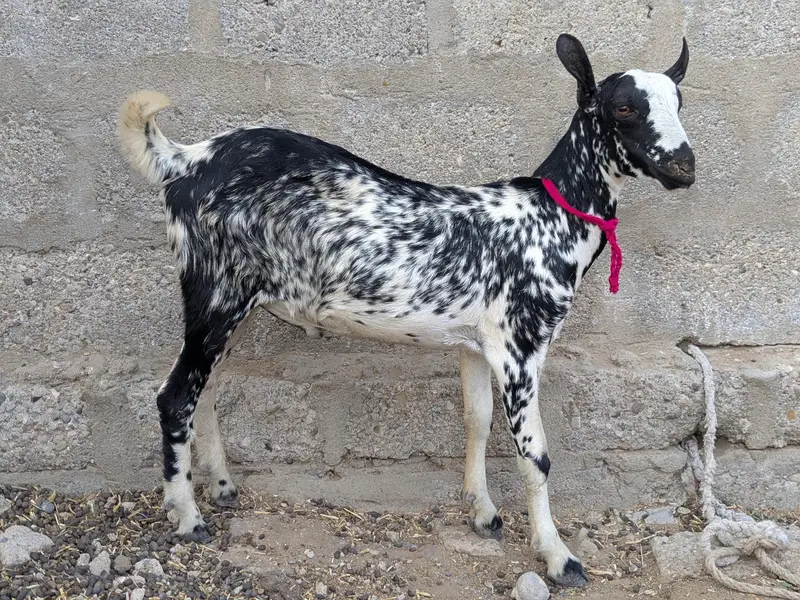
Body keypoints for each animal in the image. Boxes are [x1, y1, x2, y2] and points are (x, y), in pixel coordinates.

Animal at [118, 34, 694, 587]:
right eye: (624, 107)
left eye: (679, 100)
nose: (683, 166)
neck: (549, 216)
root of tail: (185, 159)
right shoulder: (521, 344)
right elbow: (535, 455)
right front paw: (558, 556)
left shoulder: (476, 343)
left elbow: (477, 419)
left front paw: (482, 512)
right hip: (217, 291)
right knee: (175, 396)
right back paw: (188, 517)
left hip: (229, 303)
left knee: (207, 387)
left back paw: (221, 487)